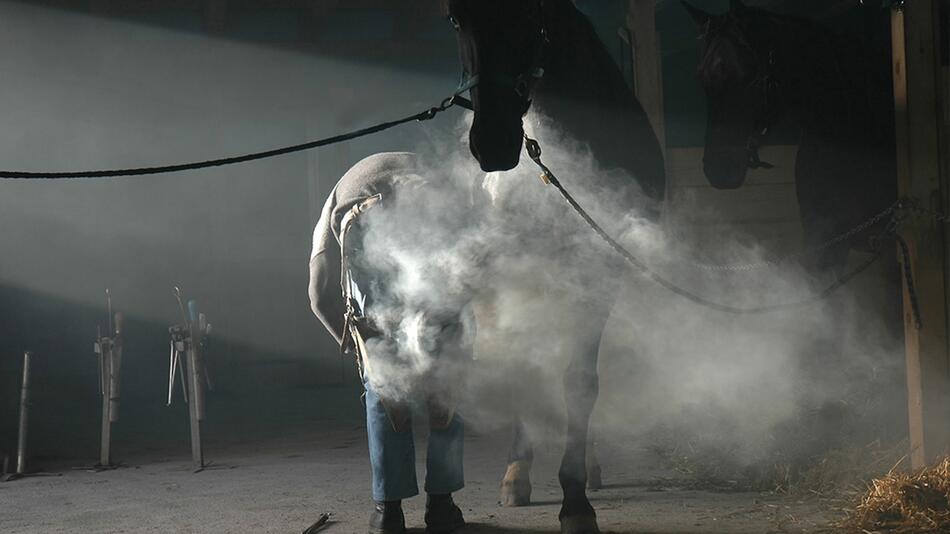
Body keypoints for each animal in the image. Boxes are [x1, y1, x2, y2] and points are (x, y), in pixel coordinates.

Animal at [446, 0, 660, 532]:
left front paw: (576, 498)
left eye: (525, 14)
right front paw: (524, 475)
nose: (493, 144)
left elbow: (581, 381)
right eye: (456, 19)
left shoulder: (599, 273)